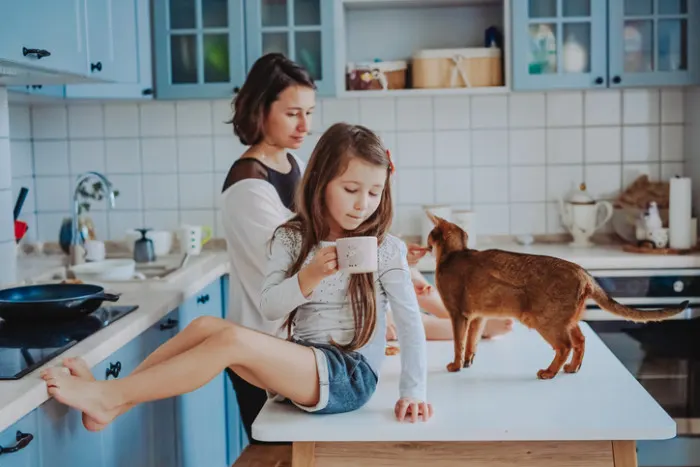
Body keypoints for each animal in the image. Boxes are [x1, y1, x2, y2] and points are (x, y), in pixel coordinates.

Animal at [424, 214, 688, 382]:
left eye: (430, 234)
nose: (426, 244)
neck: (453, 255)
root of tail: (583, 272)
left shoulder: (457, 314)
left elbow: (458, 343)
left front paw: (455, 366)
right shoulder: (478, 315)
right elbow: (472, 341)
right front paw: (468, 362)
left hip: (545, 320)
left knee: (565, 345)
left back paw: (549, 372)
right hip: (565, 319)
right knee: (580, 339)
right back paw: (572, 368)